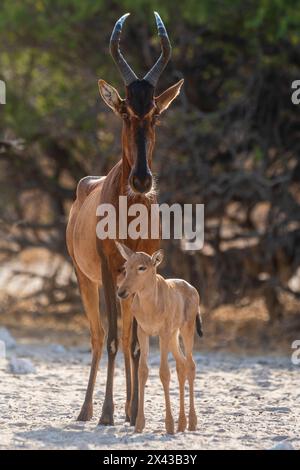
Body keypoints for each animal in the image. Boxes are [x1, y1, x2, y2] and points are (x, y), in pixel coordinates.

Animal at [116, 244, 203, 436]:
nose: (121, 292)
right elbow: (142, 371)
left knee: (191, 365)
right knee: (181, 365)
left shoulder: (162, 333)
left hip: (185, 330)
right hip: (173, 336)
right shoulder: (143, 333)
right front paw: (139, 424)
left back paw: (192, 423)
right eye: (126, 266)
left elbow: (164, 373)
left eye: (142, 267)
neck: (151, 304)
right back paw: (182, 423)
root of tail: (192, 288)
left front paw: (169, 425)